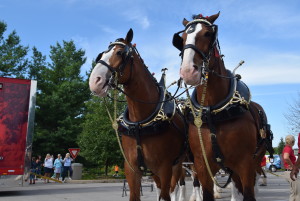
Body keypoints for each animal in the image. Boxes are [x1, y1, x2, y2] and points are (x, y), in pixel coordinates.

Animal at [89, 29, 188, 200]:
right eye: (101, 54)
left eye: (120, 52)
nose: (95, 81)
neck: (139, 123)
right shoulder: (131, 169)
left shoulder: (165, 167)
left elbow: (166, 194)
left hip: (179, 164)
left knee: (178, 186)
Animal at [172, 13, 274, 200]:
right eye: (181, 39)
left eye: (207, 34)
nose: (189, 71)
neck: (213, 111)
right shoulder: (201, 164)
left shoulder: (245, 163)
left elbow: (247, 192)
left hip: (255, 159)